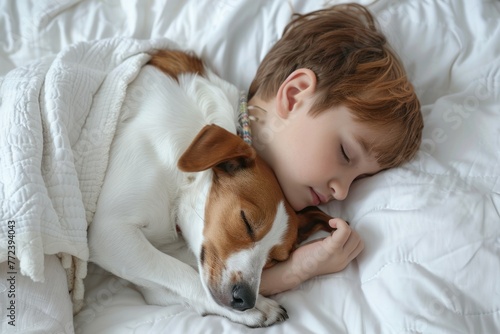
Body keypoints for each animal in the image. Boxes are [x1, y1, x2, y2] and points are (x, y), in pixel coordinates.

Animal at [88, 51, 334, 328]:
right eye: (246, 221)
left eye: (275, 259)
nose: (246, 299)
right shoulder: (109, 232)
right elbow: (184, 273)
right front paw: (254, 309)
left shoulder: (148, 278)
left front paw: (255, 306)